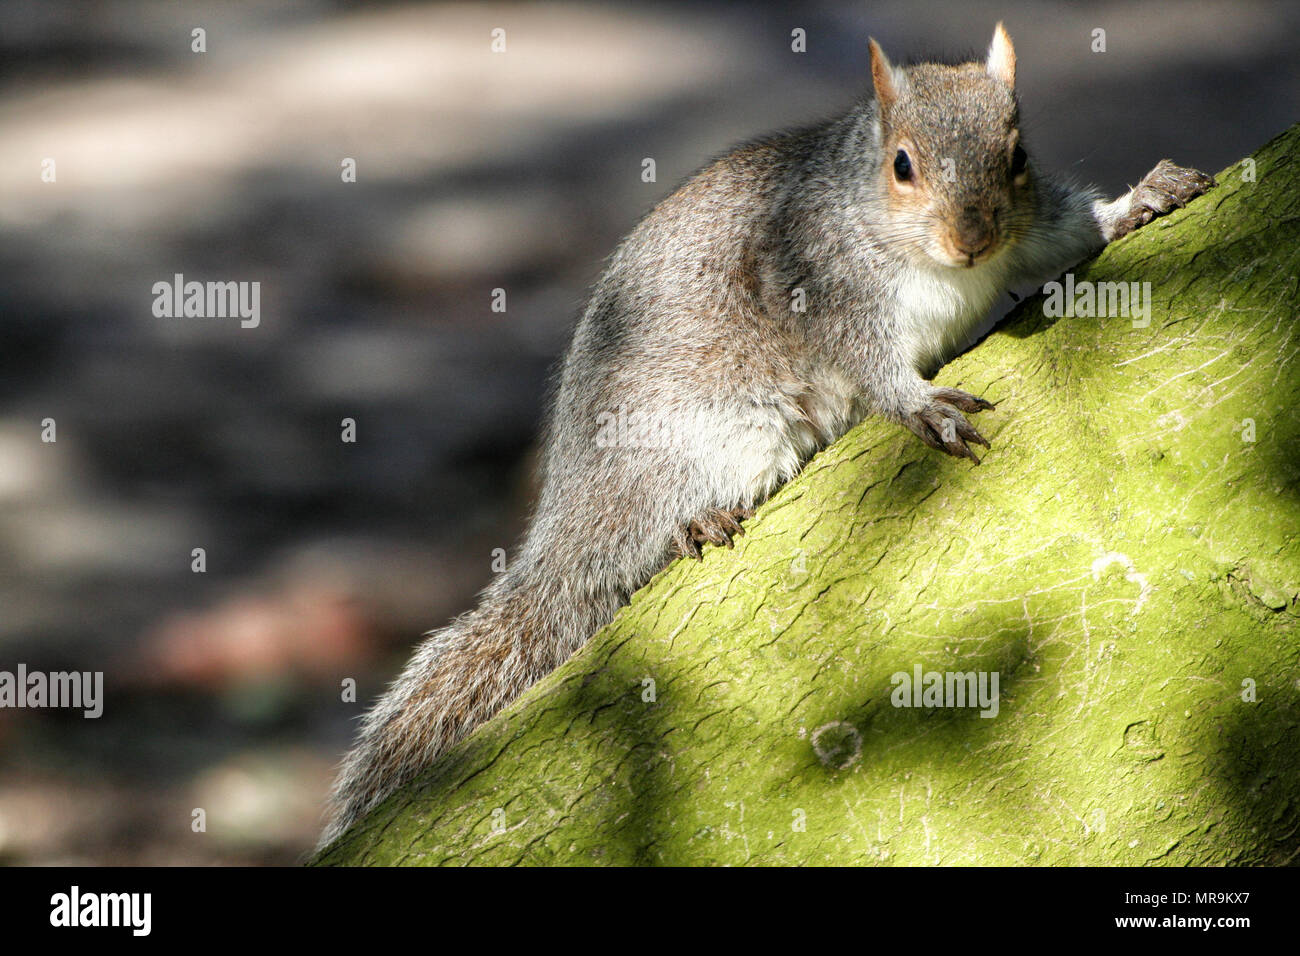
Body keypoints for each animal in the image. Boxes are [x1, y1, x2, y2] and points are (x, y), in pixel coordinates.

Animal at [319, 22, 1211, 848]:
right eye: (902, 165)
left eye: (1017, 155)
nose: (974, 239)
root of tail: (566, 515)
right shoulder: (826, 287)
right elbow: (873, 367)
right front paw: (918, 404)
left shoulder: (1034, 226)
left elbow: (1074, 230)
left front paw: (1141, 199)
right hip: (688, 443)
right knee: (635, 541)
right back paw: (693, 524)